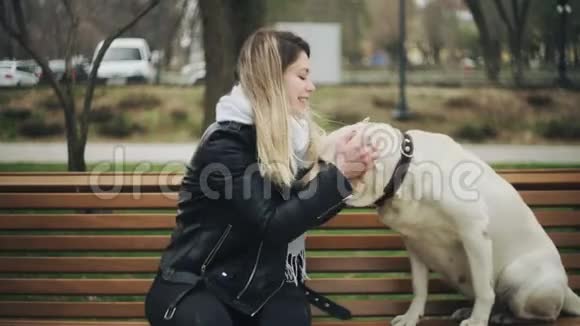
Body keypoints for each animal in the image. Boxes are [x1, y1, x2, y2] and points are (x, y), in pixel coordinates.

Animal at [320, 121, 580, 326]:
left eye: (322, 160)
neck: (402, 172)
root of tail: (567, 290)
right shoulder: (414, 244)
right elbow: (419, 287)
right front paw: (412, 317)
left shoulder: (474, 233)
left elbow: (484, 288)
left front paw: (477, 321)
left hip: (518, 277)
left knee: (543, 314)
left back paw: (503, 316)